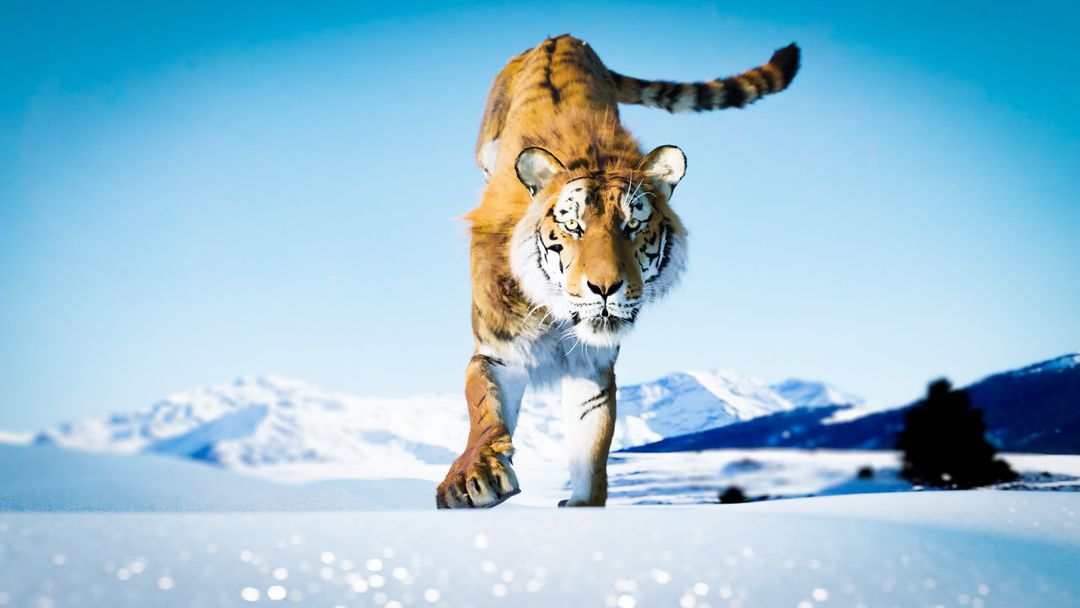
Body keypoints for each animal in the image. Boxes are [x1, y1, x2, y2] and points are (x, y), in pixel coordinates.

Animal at [436, 34, 800, 509]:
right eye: (573, 226)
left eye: (632, 226)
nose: (605, 287)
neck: (560, 317)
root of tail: (561, 36)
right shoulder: (500, 351)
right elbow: (485, 411)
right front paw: (473, 476)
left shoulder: (592, 369)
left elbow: (590, 449)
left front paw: (582, 505)